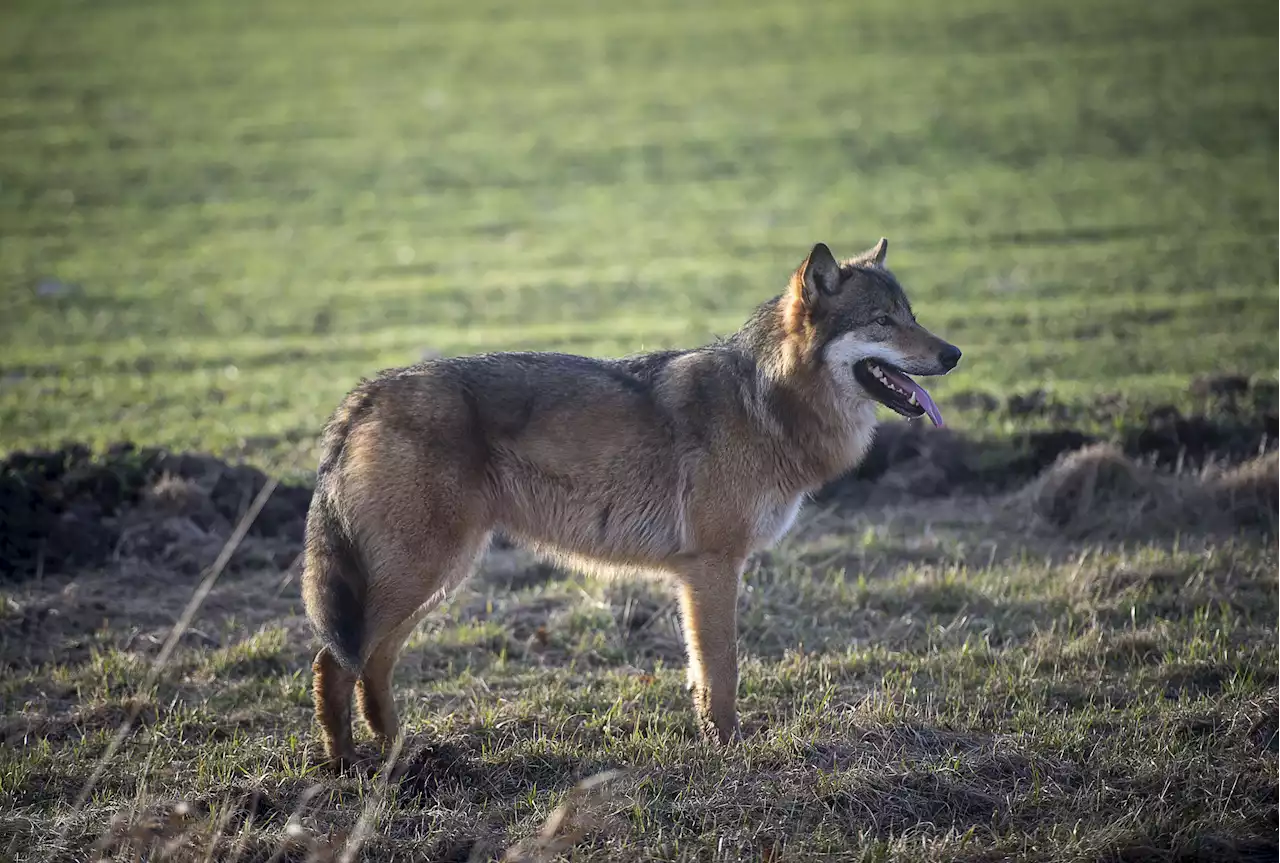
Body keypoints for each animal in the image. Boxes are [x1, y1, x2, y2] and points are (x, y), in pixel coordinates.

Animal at [299, 238, 962, 763]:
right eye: (882, 321)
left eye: (912, 315)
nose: (954, 354)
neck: (766, 403)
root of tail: (363, 395)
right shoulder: (712, 568)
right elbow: (723, 672)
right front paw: (732, 753)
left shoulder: (698, 575)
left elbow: (702, 675)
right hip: (420, 575)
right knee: (334, 663)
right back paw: (347, 767)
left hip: (437, 580)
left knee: (372, 665)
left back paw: (401, 755)